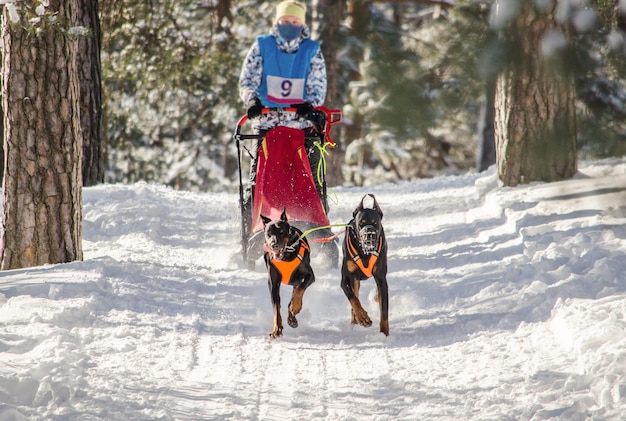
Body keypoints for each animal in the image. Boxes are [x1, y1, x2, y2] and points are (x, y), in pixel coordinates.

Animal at [260, 210, 314, 338]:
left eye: (281, 232)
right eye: (268, 234)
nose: (274, 245)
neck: (286, 256)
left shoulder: (309, 276)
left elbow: (300, 290)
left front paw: (296, 306)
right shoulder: (273, 283)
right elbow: (276, 308)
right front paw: (276, 329)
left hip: (296, 281)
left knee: (295, 294)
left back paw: (292, 317)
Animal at [338, 194, 388, 334]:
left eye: (375, 223)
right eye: (361, 224)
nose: (369, 233)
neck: (365, 252)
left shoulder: (381, 279)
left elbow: (384, 310)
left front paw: (384, 334)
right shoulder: (345, 280)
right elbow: (353, 299)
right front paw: (363, 317)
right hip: (355, 280)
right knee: (355, 297)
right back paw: (356, 320)